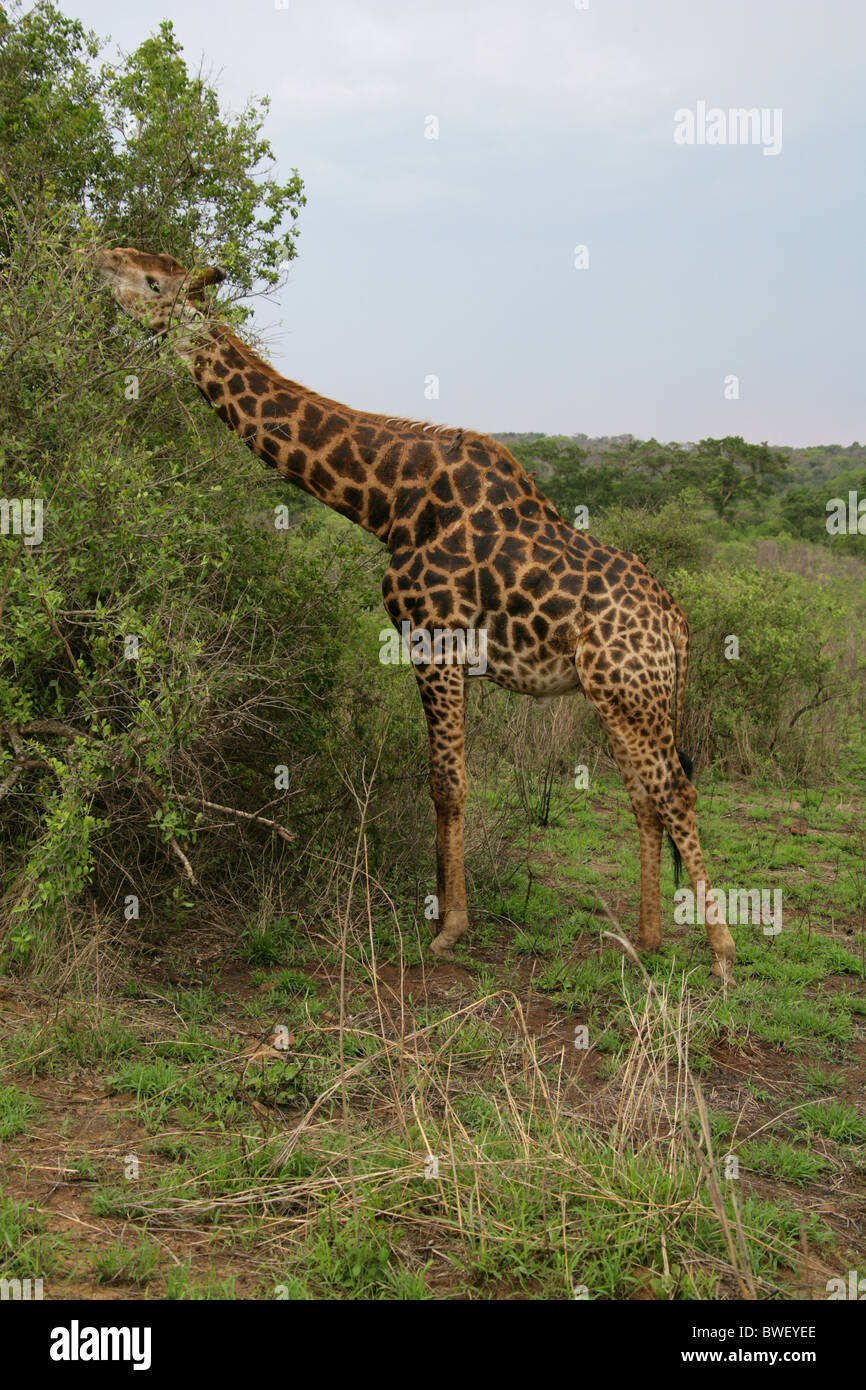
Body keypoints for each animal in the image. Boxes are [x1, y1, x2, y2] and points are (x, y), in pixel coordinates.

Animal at [91, 246, 736, 982]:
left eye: (152, 282)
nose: (94, 256)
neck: (387, 501)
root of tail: (678, 626)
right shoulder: (435, 650)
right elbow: (443, 783)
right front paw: (439, 913)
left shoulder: (438, 640)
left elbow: (448, 783)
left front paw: (450, 928)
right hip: (620, 695)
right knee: (645, 796)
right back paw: (647, 942)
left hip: (634, 688)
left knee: (676, 791)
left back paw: (721, 955)